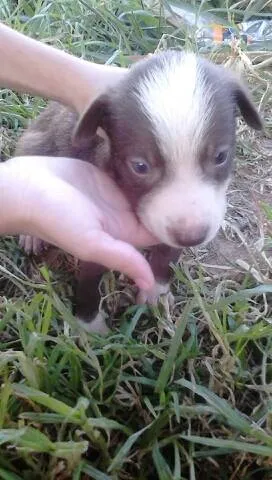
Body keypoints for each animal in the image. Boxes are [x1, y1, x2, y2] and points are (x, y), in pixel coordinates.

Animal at [15, 49, 262, 334]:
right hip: (34, 142)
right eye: (140, 166)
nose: (192, 237)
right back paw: (31, 235)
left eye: (221, 156)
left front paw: (156, 291)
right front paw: (90, 326)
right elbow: (89, 279)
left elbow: (166, 257)